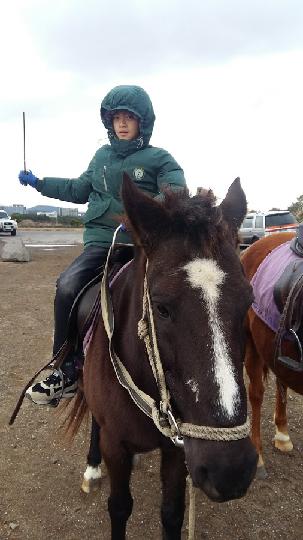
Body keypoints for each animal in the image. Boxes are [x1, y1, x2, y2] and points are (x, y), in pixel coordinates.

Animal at [70, 175, 258, 536]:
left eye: (248, 302)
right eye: (161, 308)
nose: (230, 471)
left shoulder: (177, 451)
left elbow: (171, 513)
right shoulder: (115, 446)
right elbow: (119, 507)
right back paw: (91, 468)